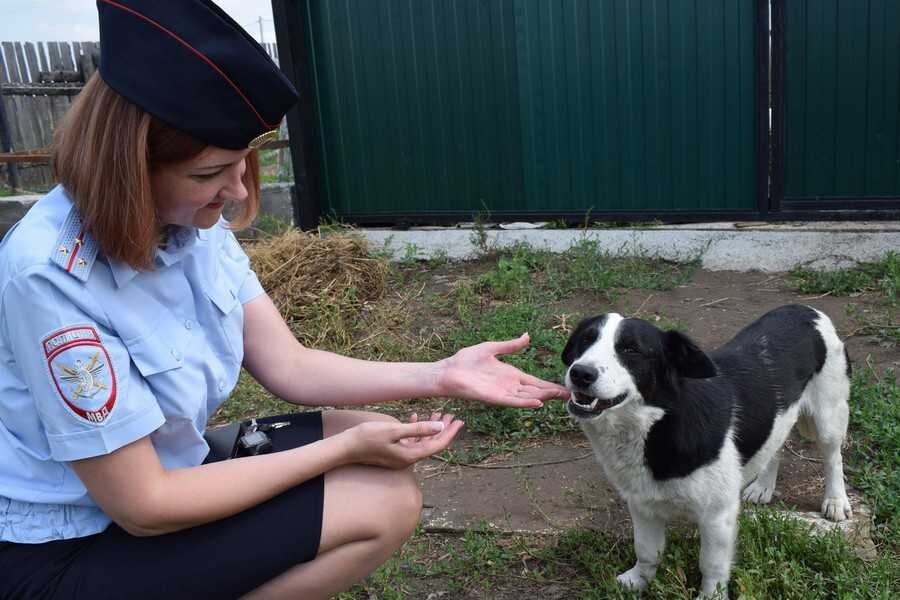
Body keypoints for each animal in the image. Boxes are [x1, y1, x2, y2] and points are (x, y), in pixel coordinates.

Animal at [564, 308, 852, 596]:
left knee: (833, 457)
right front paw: (638, 581)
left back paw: (836, 501)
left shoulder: (717, 515)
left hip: (828, 417)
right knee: (777, 442)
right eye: (586, 340)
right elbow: (646, 550)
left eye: (631, 349)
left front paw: (710, 596)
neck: (658, 422)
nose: (580, 373)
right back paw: (763, 486)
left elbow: (711, 565)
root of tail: (806, 310)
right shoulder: (642, 504)